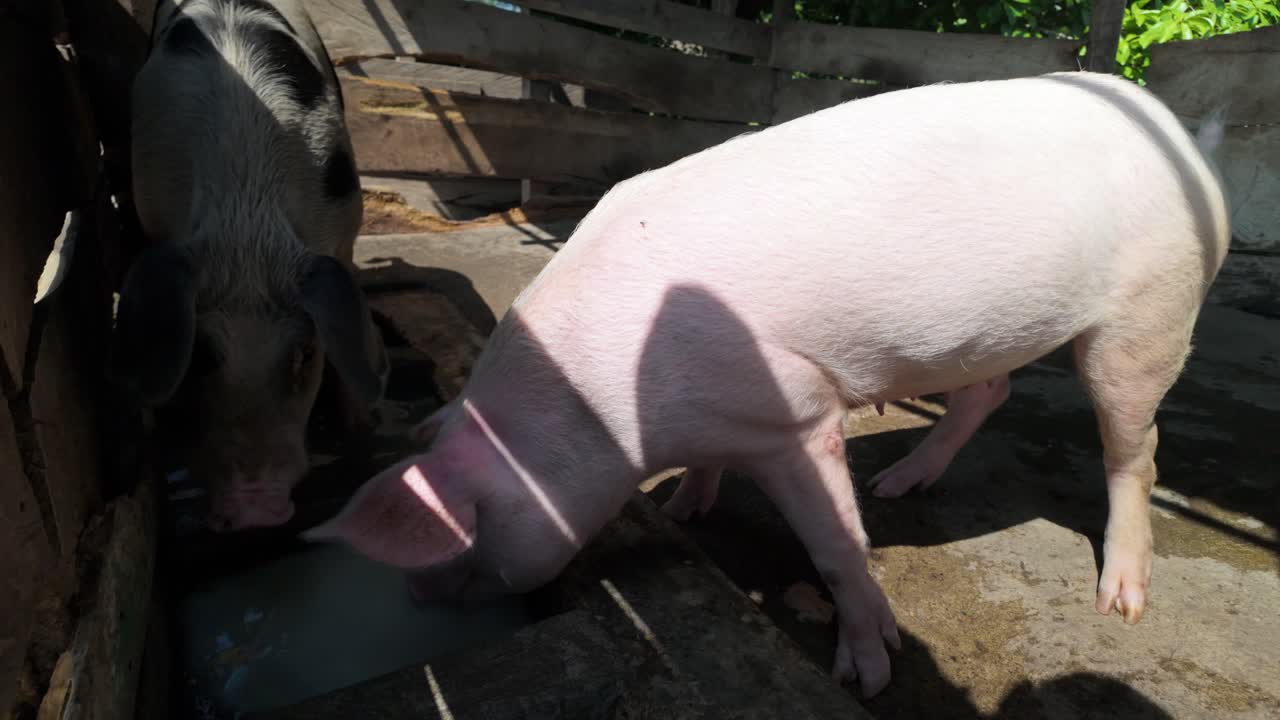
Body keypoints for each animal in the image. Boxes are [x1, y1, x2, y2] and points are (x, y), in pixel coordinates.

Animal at [303, 71, 1230, 698]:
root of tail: (1187, 142)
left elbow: (834, 545)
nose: (411, 600)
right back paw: (899, 483)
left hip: (1151, 311)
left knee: (1136, 448)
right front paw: (686, 511)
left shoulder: (796, 414)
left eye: (453, 546)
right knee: (986, 394)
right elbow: (715, 475)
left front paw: (868, 673)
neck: (610, 419)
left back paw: (1120, 604)